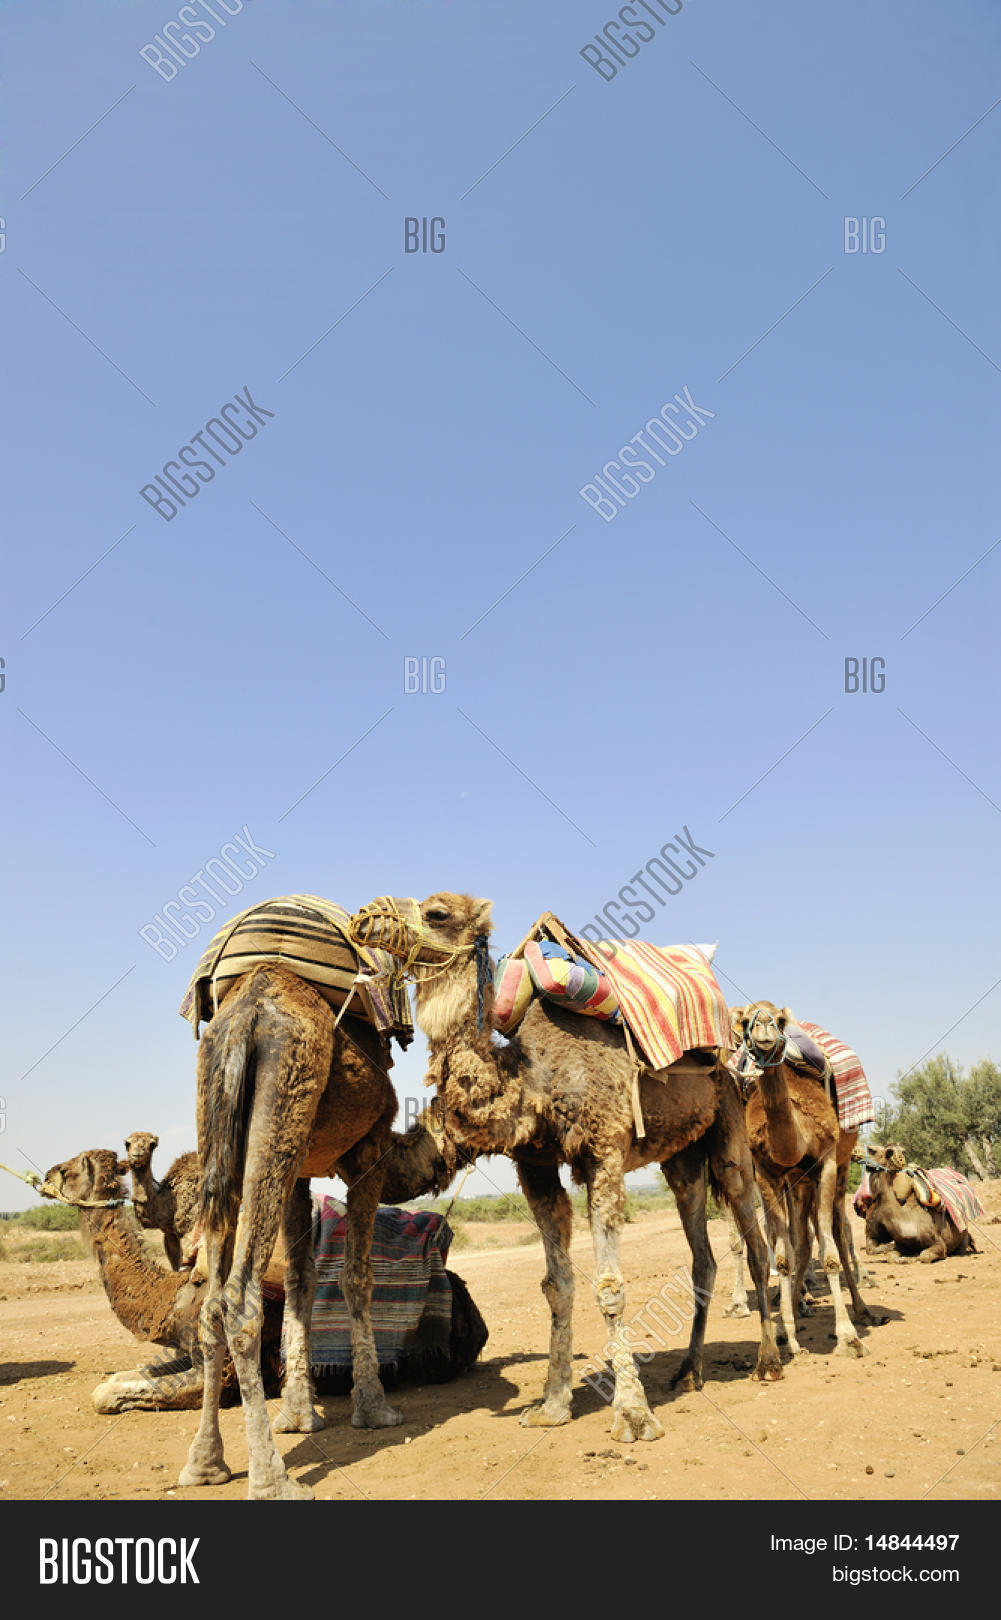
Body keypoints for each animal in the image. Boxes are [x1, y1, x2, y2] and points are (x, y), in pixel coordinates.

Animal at [122, 1132, 200, 1270]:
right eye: (127, 1143)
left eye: (152, 1144)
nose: (138, 1152)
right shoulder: (169, 1232)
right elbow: (176, 1265)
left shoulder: (189, 1226)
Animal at [358, 893, 782, 1446]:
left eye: (436, 914)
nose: (367, 916)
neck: (532, 1080)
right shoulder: (535, 1165)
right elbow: (556, 1286)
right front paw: (551, 1405)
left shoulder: (603, 1150)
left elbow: (609, 1287)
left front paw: (633, 1415)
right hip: (681, 1158)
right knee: (700, 1254)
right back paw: (689, 1370)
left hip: (729, 1124)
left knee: (754, 1237)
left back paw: (769, 1360)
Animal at [731, 1001, 876, 1358]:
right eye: (746, 1020)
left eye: (781, 1020)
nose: (765, 1030)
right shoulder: (767, 1173)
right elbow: (784, 1255)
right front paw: (788, 1334)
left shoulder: (826, 1164)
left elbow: (830, 1253)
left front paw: (848, 1337)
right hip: (797, 1183)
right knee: (802, 1239)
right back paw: (793, 1315)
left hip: (839, 1168)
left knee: (837, 1231)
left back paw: (862, 1309)